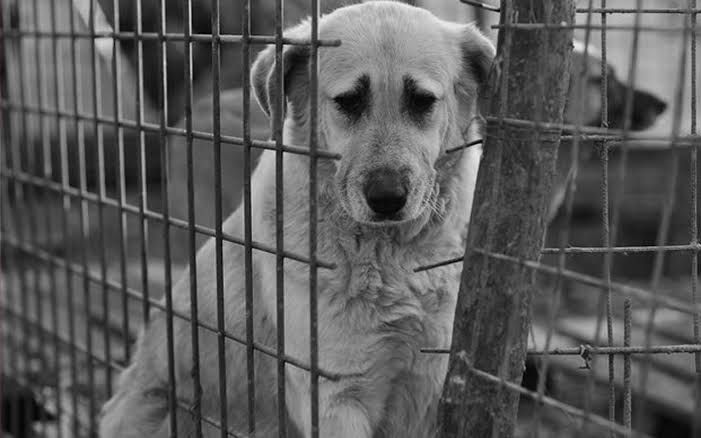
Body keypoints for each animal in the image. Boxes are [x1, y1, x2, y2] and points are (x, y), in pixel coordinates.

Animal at [98, 1, 494, 436]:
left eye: (422, 101)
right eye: (348, 102)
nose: (387, 198)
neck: (391, 257)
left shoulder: (430, 387)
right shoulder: (336, 398)